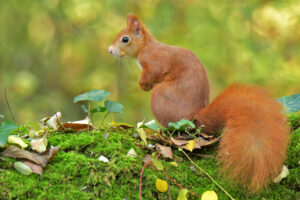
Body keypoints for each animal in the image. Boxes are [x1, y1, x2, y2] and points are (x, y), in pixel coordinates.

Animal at [109, 14, 290, 192]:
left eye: (125, 39)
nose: (110, 50)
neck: (145, 47)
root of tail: (194, 118)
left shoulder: (156, 61)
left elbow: (153, 72)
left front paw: (143, 84)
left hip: (160, 98)